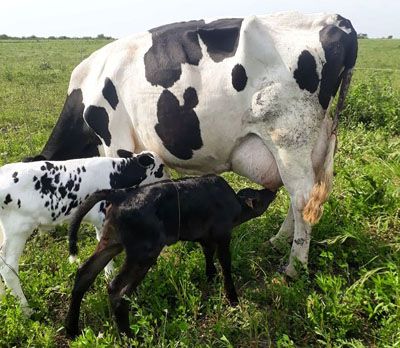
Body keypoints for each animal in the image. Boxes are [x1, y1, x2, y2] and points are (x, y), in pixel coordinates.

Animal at [0, 151, 167, 312]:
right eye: (161, 168)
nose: (169, 179)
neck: (117, 173)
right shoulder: (102, 218)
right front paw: (109, 274)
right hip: (18, 231)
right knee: (8, 269)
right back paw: (26, 310)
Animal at [26, 11, 358, 278]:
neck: (88, 88)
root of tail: (336, 20)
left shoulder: (115, 144)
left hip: (289, 138)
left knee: (302, 199)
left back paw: (294, 267)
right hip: (313, 142)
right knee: (300, 197)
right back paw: (278, 241)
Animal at [66, 175, 278, 338]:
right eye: (261, 196)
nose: (272, 190)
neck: (234, 204)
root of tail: (121, 193)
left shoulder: (204, 237)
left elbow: (208, 255)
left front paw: (210, 277)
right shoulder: (223, 234)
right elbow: (226, 264)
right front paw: (232, 298)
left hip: (111, 241)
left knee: (84, 273)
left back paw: (72, 329)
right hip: (144, 252)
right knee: (117, 290)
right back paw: (130, 337)